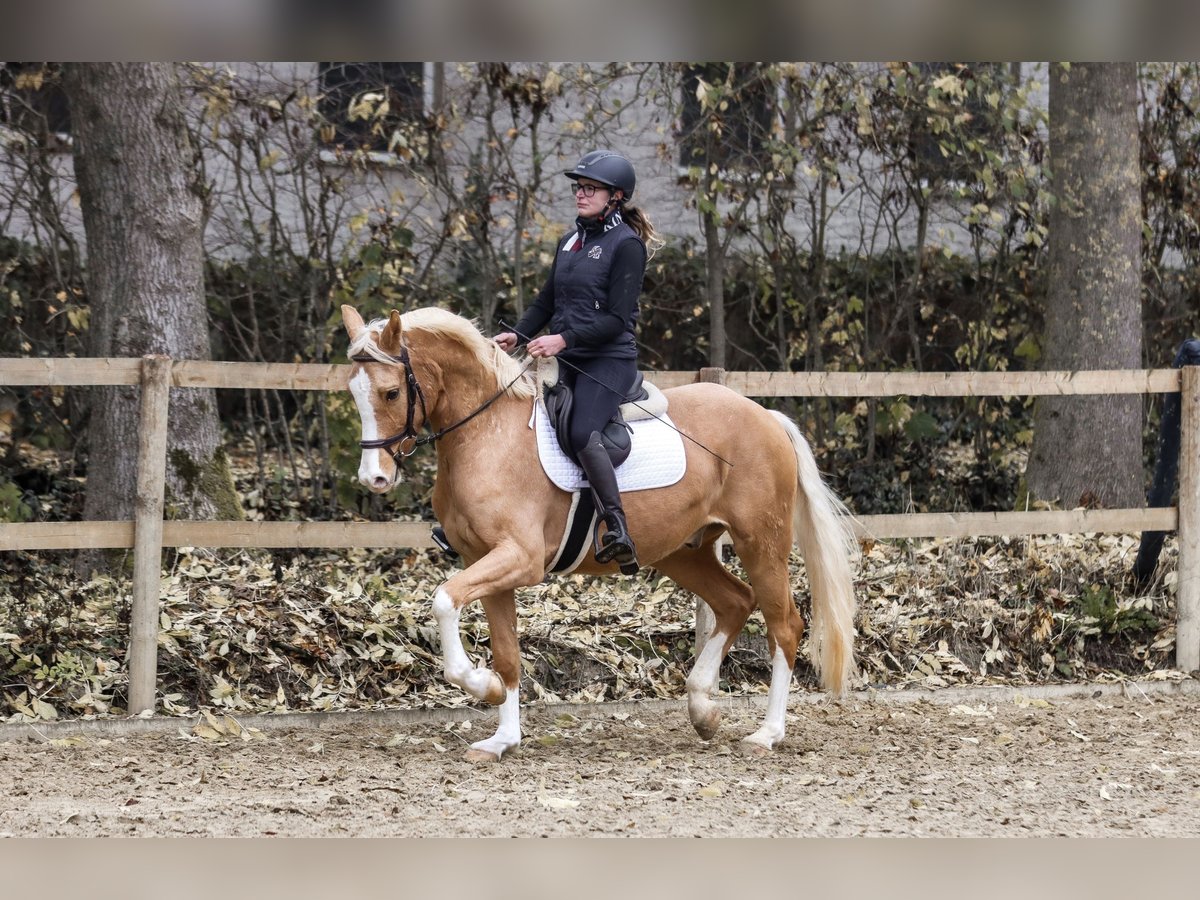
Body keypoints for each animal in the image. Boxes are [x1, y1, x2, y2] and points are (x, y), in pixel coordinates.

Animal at [343, 304, 859, 763]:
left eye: (391, 393)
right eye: (354, 392)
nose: (373, 478)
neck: (486, 434)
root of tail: (766, 416)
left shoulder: (519, 559)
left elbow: (443, 601)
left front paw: (482, 686)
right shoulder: (484, 562)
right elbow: (507, 654)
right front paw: (501, 739)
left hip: (761, 543)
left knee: (784, 625)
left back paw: (766, 734)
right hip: (681, 551)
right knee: (735, 602)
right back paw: (702, 708)